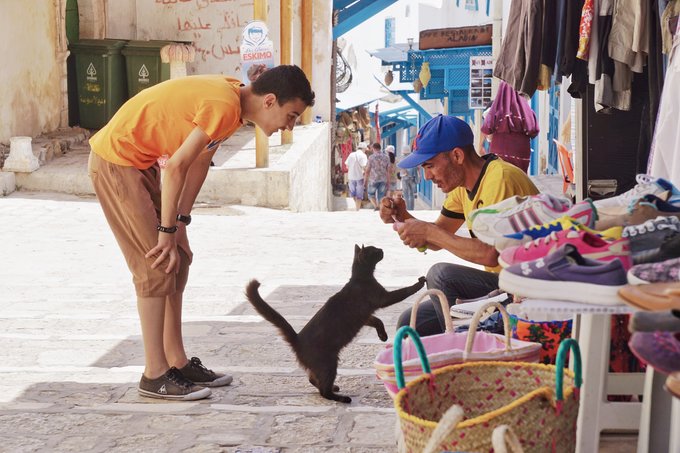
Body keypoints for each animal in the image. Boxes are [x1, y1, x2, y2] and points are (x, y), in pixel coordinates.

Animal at [244, 245, 424, 400]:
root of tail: (297, 340)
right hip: (329, 363)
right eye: (374, 250)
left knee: (312, 379)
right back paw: (341, 397)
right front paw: (419, 282)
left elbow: (378, 321)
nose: (381, 249)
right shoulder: (382, 298)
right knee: (323, 391)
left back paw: (334, 388)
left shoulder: (365, 316)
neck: (360, 279)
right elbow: (404, 291)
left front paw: (383, 336)